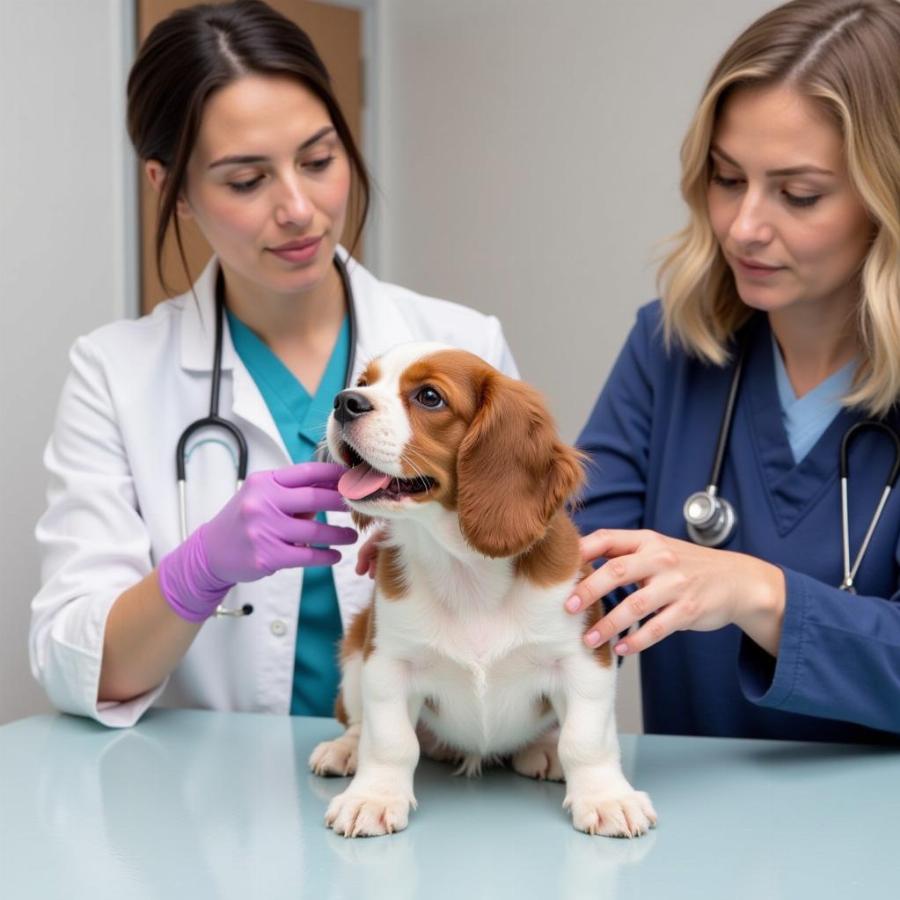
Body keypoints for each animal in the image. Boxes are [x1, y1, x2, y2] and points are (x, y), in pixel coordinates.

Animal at [310, 342, 652, 836]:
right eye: (364, 381)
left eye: (429, 397)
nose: (344, 401)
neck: (465, 567)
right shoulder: (387, 662)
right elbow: (391, 740)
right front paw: (373, 796)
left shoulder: (584, 659)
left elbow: (586, 741)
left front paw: (606, 797)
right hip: (356, 647)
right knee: (359, 721)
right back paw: (347, 748)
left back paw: (542, 749)